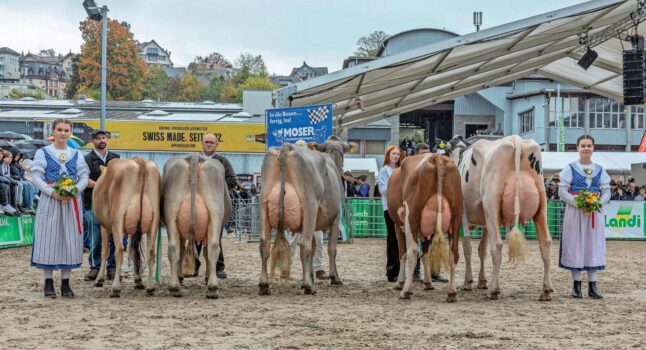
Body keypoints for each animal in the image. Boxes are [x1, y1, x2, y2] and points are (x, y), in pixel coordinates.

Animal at [93, 157, 162, 296]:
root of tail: (139, 162)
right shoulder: (134, 230)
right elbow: (134, 251)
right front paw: (138, 280)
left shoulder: (104, 226)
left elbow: (105, 252)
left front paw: (99, 279)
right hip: (154, 219)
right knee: (151, 252)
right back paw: (150, 287)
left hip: (117, 218)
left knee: (119, 250)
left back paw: (115, 288)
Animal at [162, 154, 233, 300]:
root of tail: (194, 156)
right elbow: (205, 253)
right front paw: (206, 277)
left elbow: (182, 251)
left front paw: (180, 277)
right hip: (215, 214)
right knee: (213, 247)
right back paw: (212, 288)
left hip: (171, 213)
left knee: (173, 248)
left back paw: (174, 287)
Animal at [260, 136, 360, 296]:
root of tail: (287, 147)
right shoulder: (336, 218)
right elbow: (331, 248)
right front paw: (334, 277)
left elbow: (314, 249)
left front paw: (311, 275)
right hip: (309, 206)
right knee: (304, 245)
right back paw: (309, 287)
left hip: (264, 204)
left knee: (264, 243)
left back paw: (264, 284)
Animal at [388, 154, 464, 302]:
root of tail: (437, 157)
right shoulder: (427, 231)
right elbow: (426, 254)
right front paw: (428, 283)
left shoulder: (398, 225)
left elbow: (403, 254)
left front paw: (399, 283)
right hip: (456, 216)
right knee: (454, 253)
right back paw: (452, 293)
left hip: (411, 215)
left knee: (412, 252)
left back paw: (406, 291)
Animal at [448, 135, 556, 300]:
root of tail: (516, 140)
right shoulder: (486, 221)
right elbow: (481, 249)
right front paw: (481, 281)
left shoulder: (463, 215)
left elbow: (468, 249)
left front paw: (468, 282)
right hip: (541, 205)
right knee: (546, 243)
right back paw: (546, 290)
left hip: (492, 205)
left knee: (497, 246)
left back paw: (493, 289)